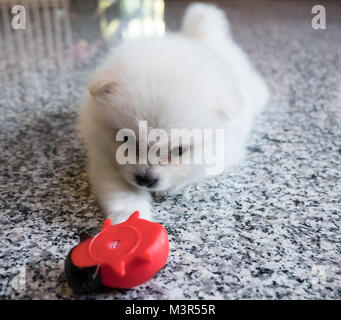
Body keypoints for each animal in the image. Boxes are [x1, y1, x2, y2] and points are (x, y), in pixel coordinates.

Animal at [79, 3, 268, 222]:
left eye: (179, 150)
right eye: (126, 139)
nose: (146, 179)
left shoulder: (225, 151)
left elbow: (194, 170)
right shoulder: (104, 158)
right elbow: (123, 193)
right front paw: (127, 218)